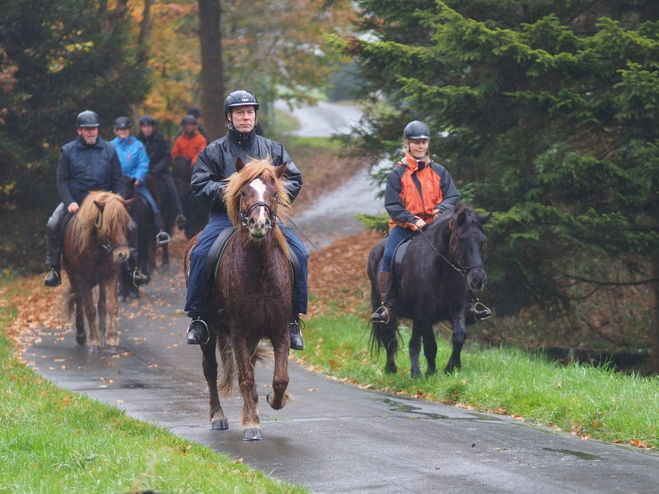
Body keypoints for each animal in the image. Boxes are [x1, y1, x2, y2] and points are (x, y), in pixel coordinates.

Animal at [61, 191, 133, 354]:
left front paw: (111, 341)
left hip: (101, 279)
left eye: (125, 222)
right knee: (79, 301)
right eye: (109, 224)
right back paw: (81, 335)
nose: (123, 254)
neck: (97, 248)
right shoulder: (83, 279)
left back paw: (102, 337)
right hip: (73, 277)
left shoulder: (111, 275)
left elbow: (111, 306)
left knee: (101, 304)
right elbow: (89, 309)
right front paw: (93, 342)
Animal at [183, 157, 292, 440]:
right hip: (209, 331)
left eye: (274, 194)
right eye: (243, 192)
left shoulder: (280, 330)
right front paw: (251, 425)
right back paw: (218, 417)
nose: (258, 224)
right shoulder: (240, 330)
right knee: (210, 369)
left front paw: (274, 400)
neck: (260, 269)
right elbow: (245, 377)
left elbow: (280, 379)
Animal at [368, 203, 492, 376]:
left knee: (412, 342)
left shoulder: (457, 308)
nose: (478, 280)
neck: (441, 271)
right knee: (389, 337)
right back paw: (391, 369)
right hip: (387, 311)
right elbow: (430, 344)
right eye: (461, 239)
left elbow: (459, 335)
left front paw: (451, 367)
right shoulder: (423, 313)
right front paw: (431, 373)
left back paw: (414, 371)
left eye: (482, 240)